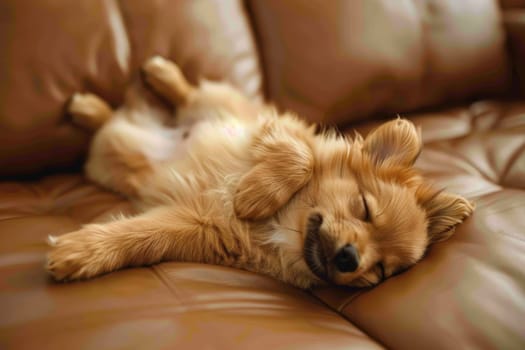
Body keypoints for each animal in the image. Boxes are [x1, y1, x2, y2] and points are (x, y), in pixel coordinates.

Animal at [45, 56, 472, 288]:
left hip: (113, 158)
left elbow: (141, 237)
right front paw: (254, 195)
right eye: (364, 208)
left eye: (381, 271)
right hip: (223, 105)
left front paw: (82, 252)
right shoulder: (275, 128)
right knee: (188, 95)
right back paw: (156, 74)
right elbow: (300, 155)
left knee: (110, 123)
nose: (351, 258)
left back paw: (91, 108)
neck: (281, 223)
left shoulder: (195, 225)